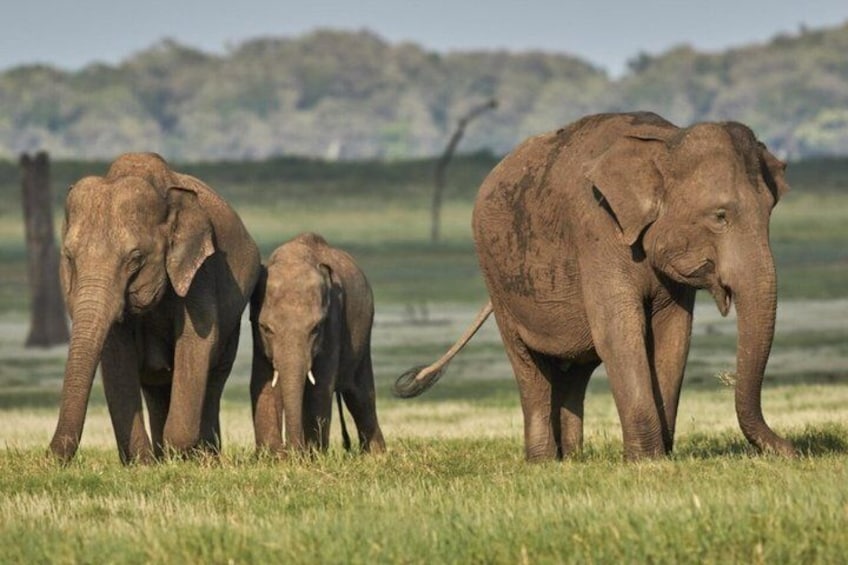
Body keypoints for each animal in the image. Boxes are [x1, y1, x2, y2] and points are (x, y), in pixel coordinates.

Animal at [49, 152, 261, 464]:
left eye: (135, 259)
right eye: (69, 257)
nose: (50, 456)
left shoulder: (200, 272)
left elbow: (197, 341)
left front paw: (180, 455)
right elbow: (117, 355)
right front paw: (143, 464)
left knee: (214, 377)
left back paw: (204, 458)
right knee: (156, 386)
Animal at [250, 232, 385, 455]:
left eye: (315, 328)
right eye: (266, 328)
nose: (291, 450)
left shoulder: (333, 319)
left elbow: (320, 386)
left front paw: (312, 456)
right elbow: (264, 383)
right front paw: (272, 456)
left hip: (364, 334)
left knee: (360, 396)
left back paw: (375, 455)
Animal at [395, 112, 796, 461]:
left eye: (770, 211)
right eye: (720, 216)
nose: (792, 449)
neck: (665, 140)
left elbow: (674, 336)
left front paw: (662, 456)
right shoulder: (596, 230)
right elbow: (619, 333)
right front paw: (646, 461)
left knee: (575, 370)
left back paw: (572, 459)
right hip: (497, 279)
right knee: (528, 365)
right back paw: (543, 462)